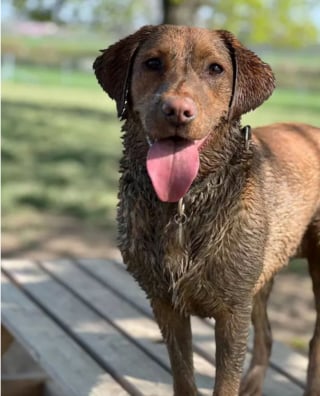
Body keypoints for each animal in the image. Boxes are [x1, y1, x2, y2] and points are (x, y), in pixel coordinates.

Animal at [94, 25, 320, 396]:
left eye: (216, 69)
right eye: (152, 62)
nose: (177, 111)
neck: (183, 202)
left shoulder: (232, 311)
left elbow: (224, 383)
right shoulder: (165, 303)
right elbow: (183, 377)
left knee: (314, 342)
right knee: (267, 334)